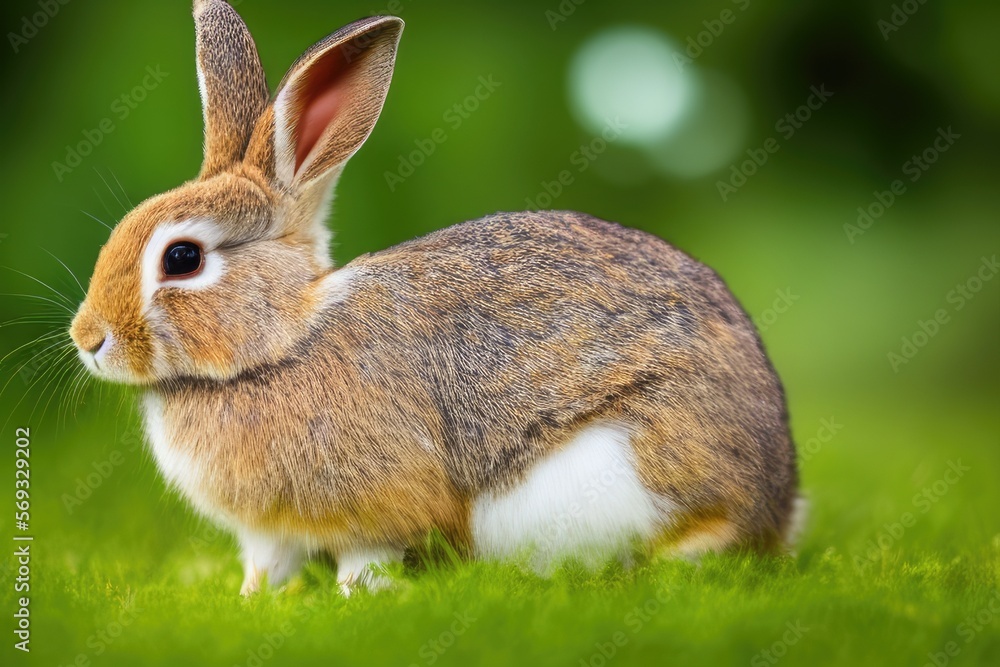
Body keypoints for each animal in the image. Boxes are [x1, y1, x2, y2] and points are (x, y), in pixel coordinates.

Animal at [69, 0, 801, 595]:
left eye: (182, 258)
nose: (88, 339)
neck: (278, 344)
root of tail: (779, 497)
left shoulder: (378, 503)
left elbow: (369, 554)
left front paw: (357, 595)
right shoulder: (267, 534)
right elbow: (267, 568)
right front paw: (251, 601)